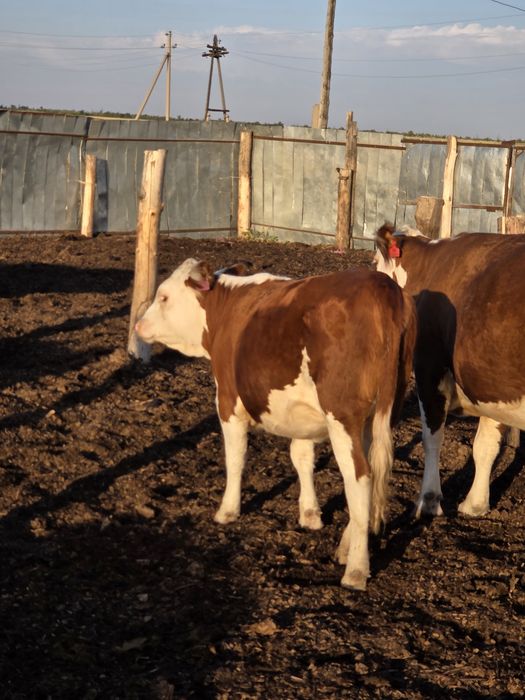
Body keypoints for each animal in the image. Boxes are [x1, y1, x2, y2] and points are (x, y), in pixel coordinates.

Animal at [135, 258, 417, 590]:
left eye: (163, 296)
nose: (138, 325)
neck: (227, 308)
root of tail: (382, 287)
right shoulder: (302, 415)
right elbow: (302, 457)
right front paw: (310, 513)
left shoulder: (227, 402)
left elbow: (236, 459)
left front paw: (227, 511)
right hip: (378, 416)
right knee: (372, 469)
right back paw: (346, 547)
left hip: (343, 417)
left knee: (360, 477)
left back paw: (356, 570)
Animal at [374, 223, 525, 518]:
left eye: (374, 263)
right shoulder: (491, 380)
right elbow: (486, 444)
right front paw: (475, 504)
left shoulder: (430, 368)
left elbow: (432, 436)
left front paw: (429, 500)